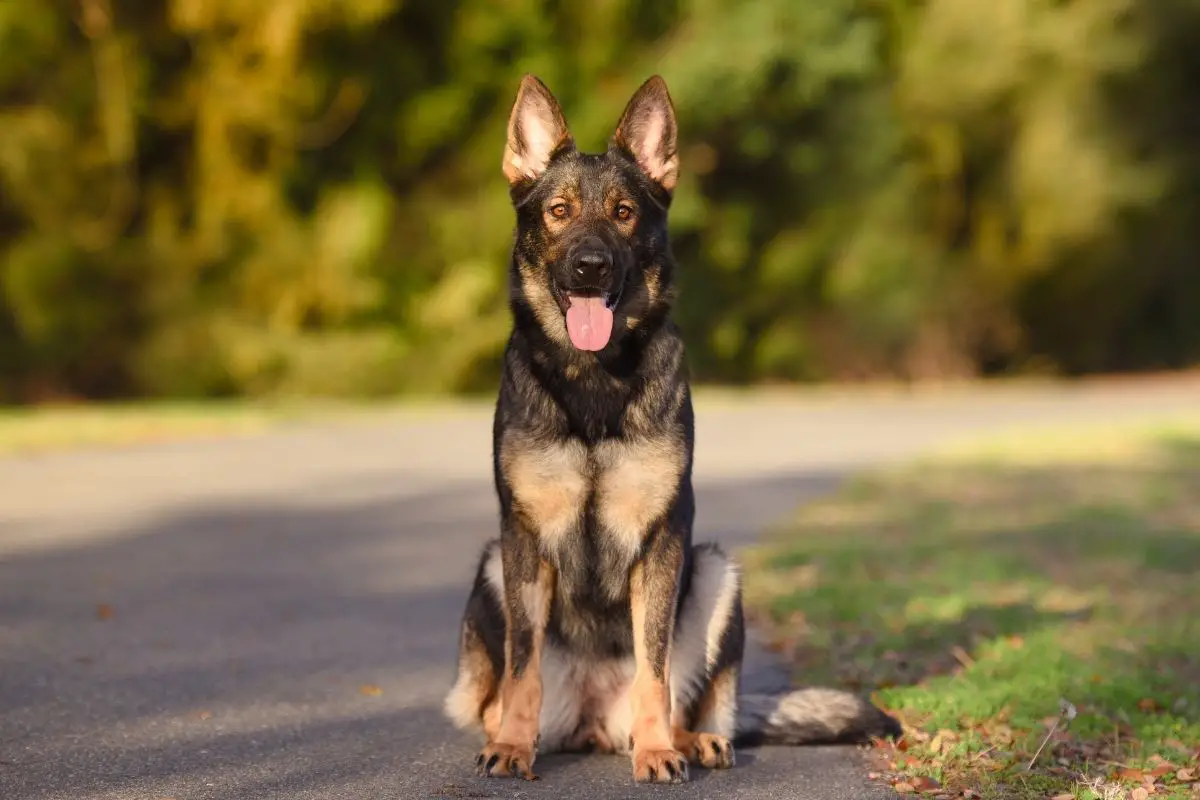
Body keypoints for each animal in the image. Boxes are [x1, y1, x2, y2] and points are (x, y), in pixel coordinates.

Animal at [444, 71, 902, 786]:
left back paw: (690, 740)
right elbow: (523, 668)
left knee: (694, 698)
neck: (596, 381)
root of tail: (592, 722)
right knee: (505, 688)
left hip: (716, 571)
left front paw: (659, 749)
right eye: (559, 212)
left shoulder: (664, 539)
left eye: (624, 213)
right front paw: (514, 746)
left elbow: (653, 670)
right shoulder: (522, 538)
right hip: (494, 567)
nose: (591, 266)